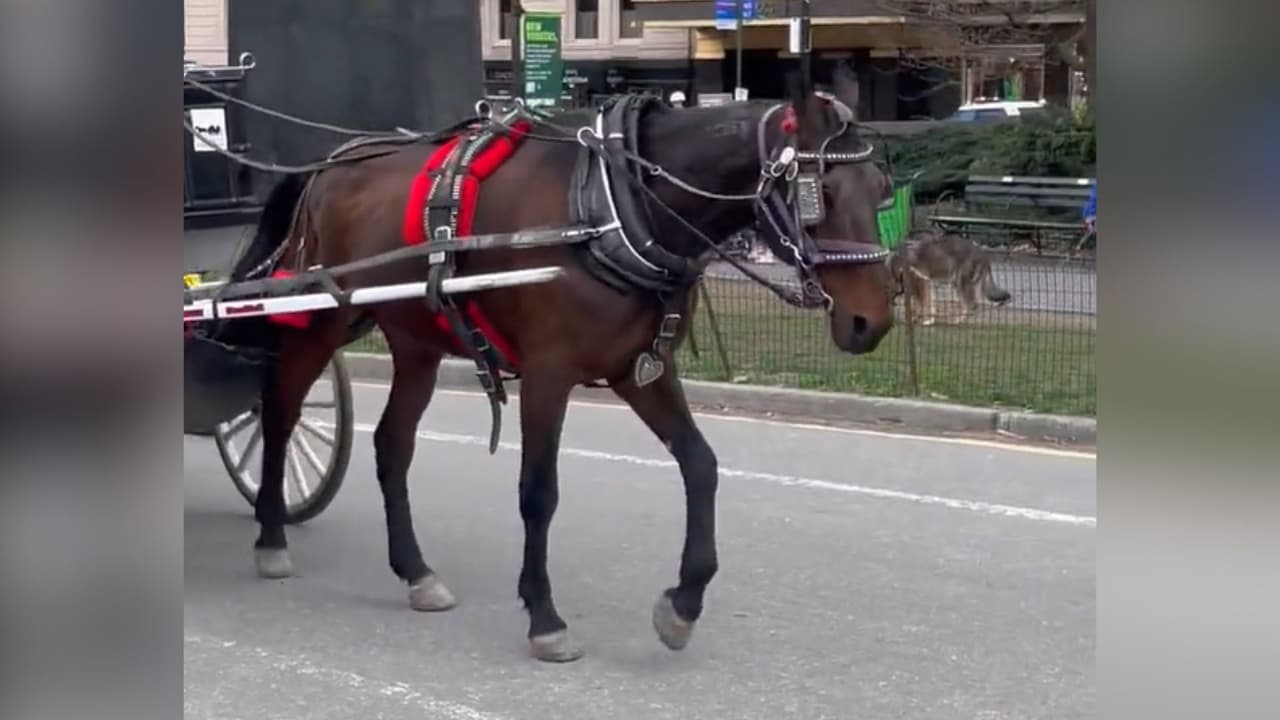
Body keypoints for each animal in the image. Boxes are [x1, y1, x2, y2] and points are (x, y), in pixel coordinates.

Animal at [216, 64, 898, 662]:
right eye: (820, 192)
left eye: (882, 191)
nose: (871, 322)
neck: (614, 207)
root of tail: (330, 164)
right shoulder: (549, 374)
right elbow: (539, 491)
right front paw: (545, 617)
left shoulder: (641, 371)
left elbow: (700, 466)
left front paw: (683, 603)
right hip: (321, 321)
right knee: (279, 413)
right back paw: (271, 534)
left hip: (416, 340)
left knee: (391, 444)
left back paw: (414, 570)